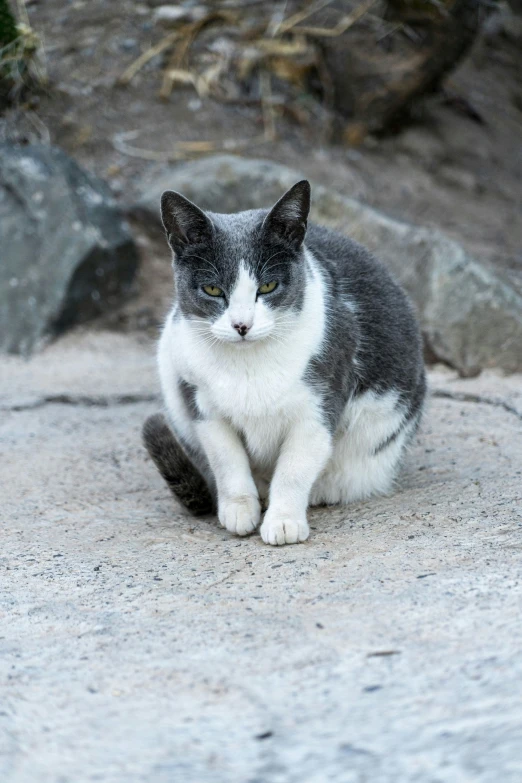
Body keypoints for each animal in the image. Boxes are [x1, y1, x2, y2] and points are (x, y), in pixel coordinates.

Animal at [141, 179, 422, 544]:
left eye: (268, 285)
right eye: (213, 289)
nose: (242, 325)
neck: (249, 365)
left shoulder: (319, 405)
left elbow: (294, 469)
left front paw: (284, 521)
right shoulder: (201, 405)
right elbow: (228, 462)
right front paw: (239, 510)